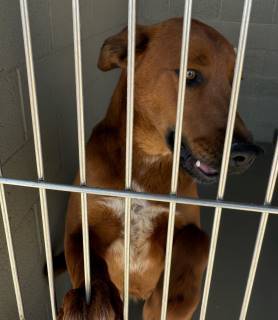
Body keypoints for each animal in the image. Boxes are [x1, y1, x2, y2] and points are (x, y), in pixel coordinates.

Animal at [57, 18, 262, 320]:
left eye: (235, 82)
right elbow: (87, 263)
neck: (146, 163)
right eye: (190, 73)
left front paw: (172, 301)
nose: (248, 154)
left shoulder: (184, 224)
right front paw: (90, 304)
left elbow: (197, 241)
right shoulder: (77, 228)